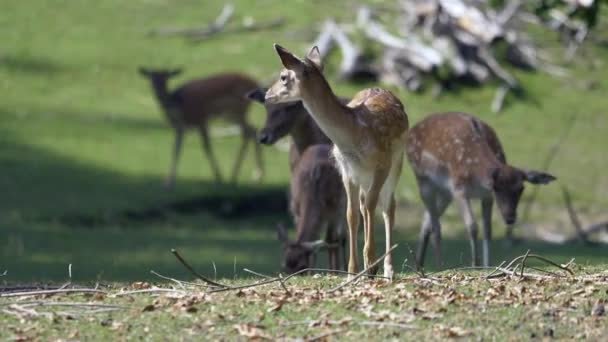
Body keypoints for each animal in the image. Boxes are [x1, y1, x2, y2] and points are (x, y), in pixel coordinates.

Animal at [276, 144, 346, 272]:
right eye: (284, 267)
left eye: (302, 266)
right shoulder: (296, 209)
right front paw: (312, 272)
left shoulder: (335, 209)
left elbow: (331, 240)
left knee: (339, 238)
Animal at [406, 111, 560, 268]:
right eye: (496, 187)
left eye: (521, 188)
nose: (510, 217)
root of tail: (411, 131)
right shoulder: (459, 189)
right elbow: (473, 226)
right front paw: (475, 264)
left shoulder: (486, 196)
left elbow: (488, 230)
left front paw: (487, 265)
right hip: (423, 179)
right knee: (435, 225)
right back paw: (439, 266)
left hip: (444, 192)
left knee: (427, 222)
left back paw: (419, 266)